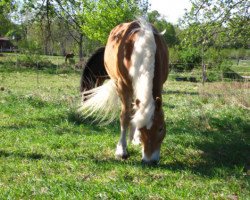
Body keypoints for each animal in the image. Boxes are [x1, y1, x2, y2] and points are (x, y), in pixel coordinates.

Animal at [81, 18, 169, 163]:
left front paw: (135, 138)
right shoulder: (122, 86)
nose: (150, 161)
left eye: (161, 128)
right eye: (141, 128)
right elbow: (125, 116)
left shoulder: (159, 85)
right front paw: (122, 150)